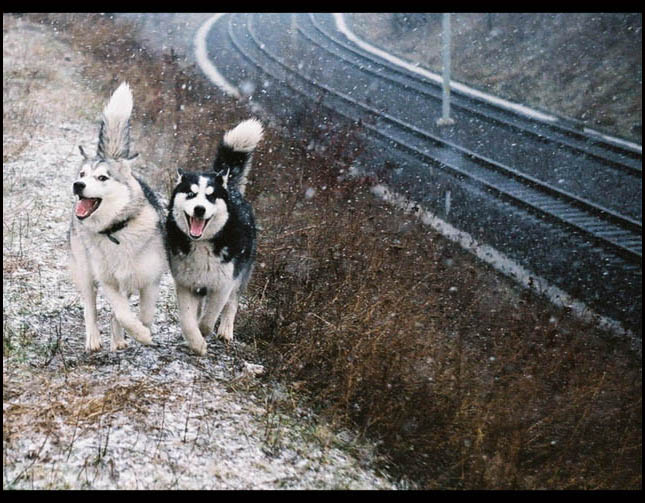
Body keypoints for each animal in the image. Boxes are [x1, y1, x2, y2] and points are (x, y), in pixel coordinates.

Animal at [69, 82, 167, 352]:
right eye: (82, 174)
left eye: (102, 177)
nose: (77, 185)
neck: (116, 230)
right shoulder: (108, 281)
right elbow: (123, 313)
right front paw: (140, 334)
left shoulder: (150, 281)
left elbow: (143, 315)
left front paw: (141, 333)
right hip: (86, 271)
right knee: (90, 308)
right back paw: (93, 339)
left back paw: (119, 339)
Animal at [167, 118, 266, 356]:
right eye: (191, 193)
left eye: (211, 197)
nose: (200, 209)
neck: (202, 243)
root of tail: (230, 186)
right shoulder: (186, 283)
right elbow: (188, 320)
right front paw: (195, 342)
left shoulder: (223, 284)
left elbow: (209, 318)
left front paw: (203, 334)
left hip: (242, 271)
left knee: (232, 303)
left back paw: (226, 330)